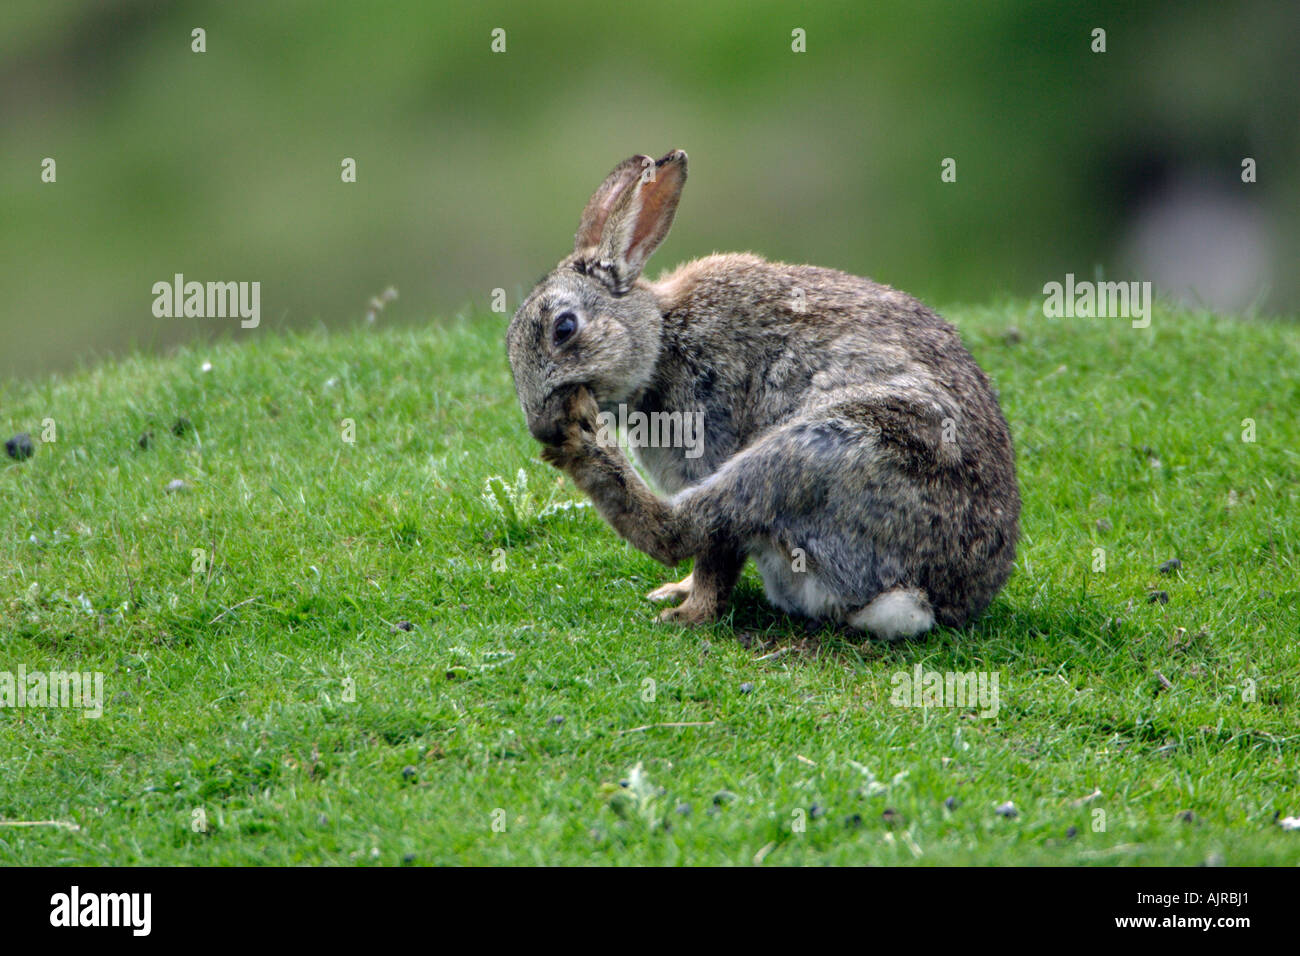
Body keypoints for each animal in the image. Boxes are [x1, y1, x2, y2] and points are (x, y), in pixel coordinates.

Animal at [506, 149, 1020, 639]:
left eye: (564, 328)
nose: (543, 427)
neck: (663, 341)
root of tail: (934, 599)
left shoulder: (712, 436)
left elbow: (715, 557)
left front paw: (691, 610)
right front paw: (681, 592)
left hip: (831, 446)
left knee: (682, 529)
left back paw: (585, 450)